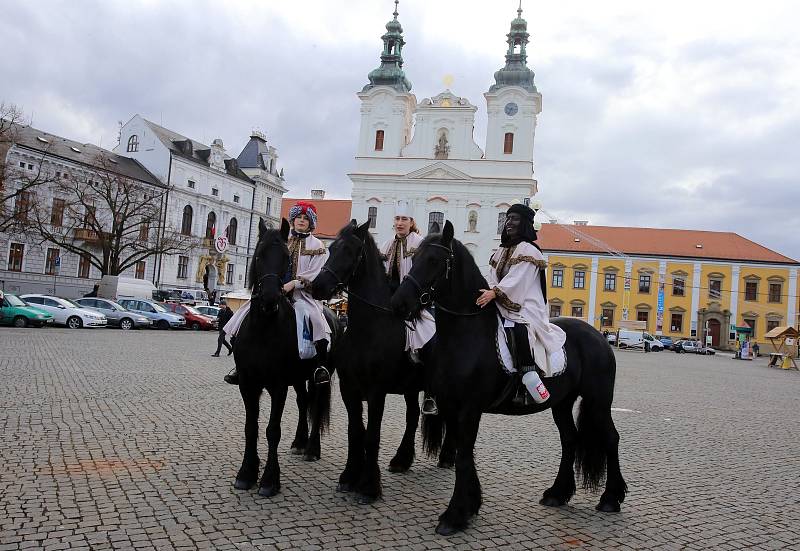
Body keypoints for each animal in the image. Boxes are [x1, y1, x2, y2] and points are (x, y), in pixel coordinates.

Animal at [231, 219, 338, 496]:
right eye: (259, 255)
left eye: (286, 258)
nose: (269, 299)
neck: (264, 329)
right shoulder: (248, 384)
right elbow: (251, 427)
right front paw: (247, 473)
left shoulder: (278, 385)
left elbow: (272, 430)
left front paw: (269, 480)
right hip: (299, 378)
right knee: (303, 401)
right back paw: (300, 442)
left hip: (320, 377)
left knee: (316, 403)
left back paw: (311, 449)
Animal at [310, 220, 454, 504]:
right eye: (331, 249)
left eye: (350, 250)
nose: (318, 286)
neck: (368, 328)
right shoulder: (349, 389)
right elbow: (356, 431)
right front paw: (350, 476)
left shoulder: (377, 392)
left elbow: (372, 436)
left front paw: (369, 487)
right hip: (410, 388)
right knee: (412, 417)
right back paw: (402, 459)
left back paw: (446, 457)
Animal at [390, 222, 628, 536]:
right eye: (414, 258)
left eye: (434, 261)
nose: (398, 303)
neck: (465, 335)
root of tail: (600, 337)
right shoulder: (451, 405)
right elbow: (465, 453)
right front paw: (471, 505)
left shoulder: (469, 408)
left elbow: (464, 455)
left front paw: (454, 515)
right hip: (562, 403)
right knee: (570, 440)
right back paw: (557, 493)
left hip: (598, 399)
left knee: (610, 438)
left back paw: (611, 498)